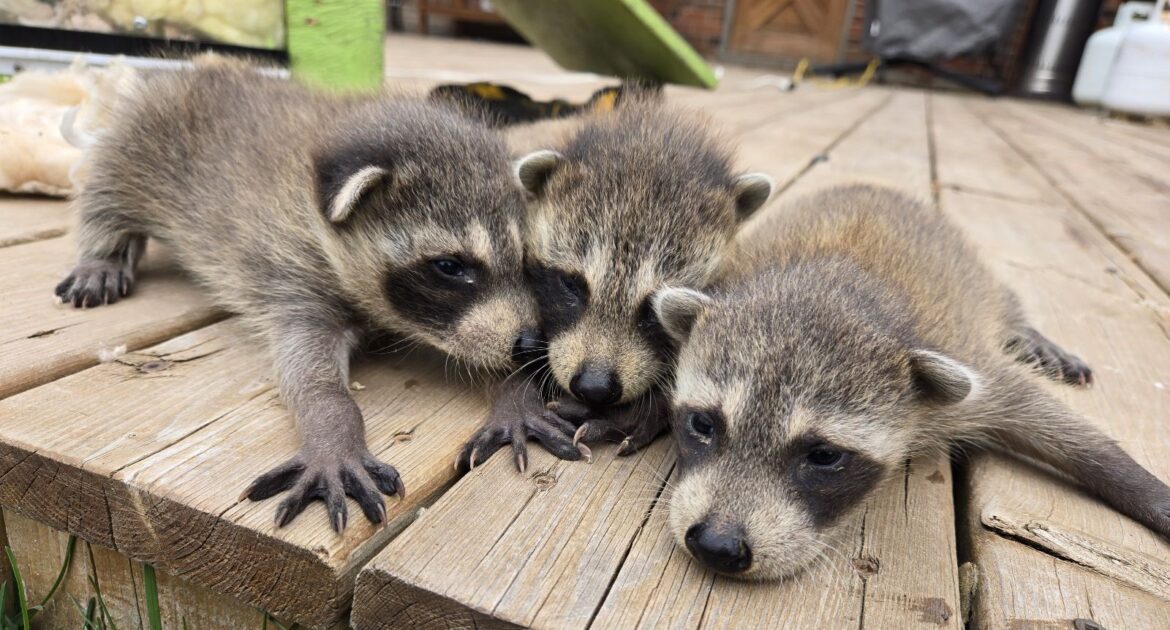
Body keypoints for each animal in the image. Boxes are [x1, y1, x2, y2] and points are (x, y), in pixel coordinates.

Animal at [54, 56, 539, 531]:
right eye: (450, 267)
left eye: (526, 260)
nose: (529, 342)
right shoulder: (293, 274)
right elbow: (308, 377)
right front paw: (332, 431)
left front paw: (517, 392)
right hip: (137, 143)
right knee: (105, 197)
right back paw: (101, 254)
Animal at [456, 100, 776, 473]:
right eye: (571, 284)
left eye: (656, 303)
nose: (593, 388)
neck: (644, 132)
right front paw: (517, 398)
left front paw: (642, 412)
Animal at [652, 184, 1166, 578]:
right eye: (703, 424)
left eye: (823, 455)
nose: (717, 545)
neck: (829, 287)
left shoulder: (964, 364)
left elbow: (1046, 418)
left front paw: (1139, 484)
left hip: (973, 274)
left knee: (1004, 301)